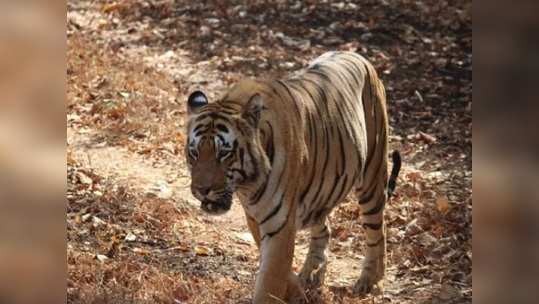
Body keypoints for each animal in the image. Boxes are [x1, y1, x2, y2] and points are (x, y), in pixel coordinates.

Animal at [186, 51, 400, 302]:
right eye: (194, 152)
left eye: (224, 153)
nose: (201, 190)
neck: (247, 185)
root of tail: (357, 55)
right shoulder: (257, 219)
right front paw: (296, 290)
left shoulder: (279, 223)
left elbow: (271, 279)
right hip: (320, 192)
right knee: (323, 229)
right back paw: (311, 274)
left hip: (372, 178)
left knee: (378, 232)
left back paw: (371, 282)